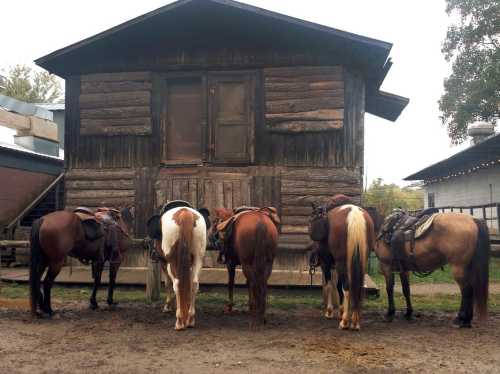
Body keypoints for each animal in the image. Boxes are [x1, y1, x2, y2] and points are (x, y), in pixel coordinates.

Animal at [308, 196, 376, 330]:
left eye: (311, 219)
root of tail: (354, 214)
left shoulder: (326, 264)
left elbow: (330, 286)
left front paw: (330, 312)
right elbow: (338, 287)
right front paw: (341, 310)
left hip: (340, 263)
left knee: (347, 288)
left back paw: (345, 321)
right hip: (359, 262)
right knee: (356, 287)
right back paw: (355, 321)